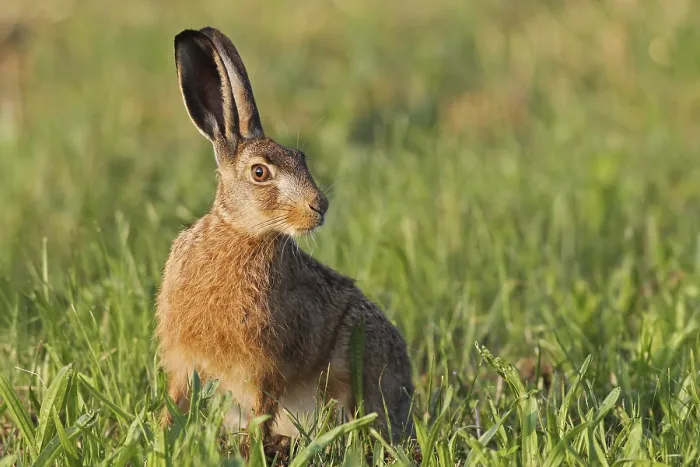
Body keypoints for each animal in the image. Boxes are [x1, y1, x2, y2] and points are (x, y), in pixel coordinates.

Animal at [155, 26, 415, 453]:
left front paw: (251, 454)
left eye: (301, 158)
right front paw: (159, 438)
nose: (320, 206)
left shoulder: (265, 370)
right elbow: (174, 404)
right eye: (260, 173)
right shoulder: (184, 362)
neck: (241, 232)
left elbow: (262, 411)